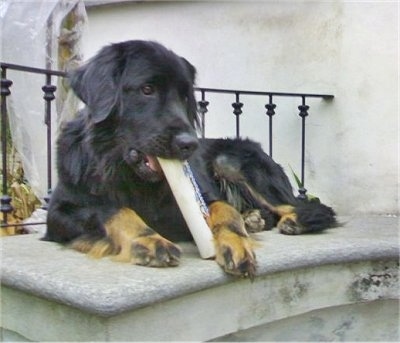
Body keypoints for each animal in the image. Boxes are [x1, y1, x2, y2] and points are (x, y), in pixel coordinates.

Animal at [45, 39, 336, 280]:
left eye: (185, 96)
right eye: (147, 89)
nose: (189, 144)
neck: (129, 174)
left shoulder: (201, 198)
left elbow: (225, 210)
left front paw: (236, 243)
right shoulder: (60, 211)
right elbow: (114, 210)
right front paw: (150, 240)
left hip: (230, 159)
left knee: (305, 206)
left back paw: (291, 221)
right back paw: (255, 219)